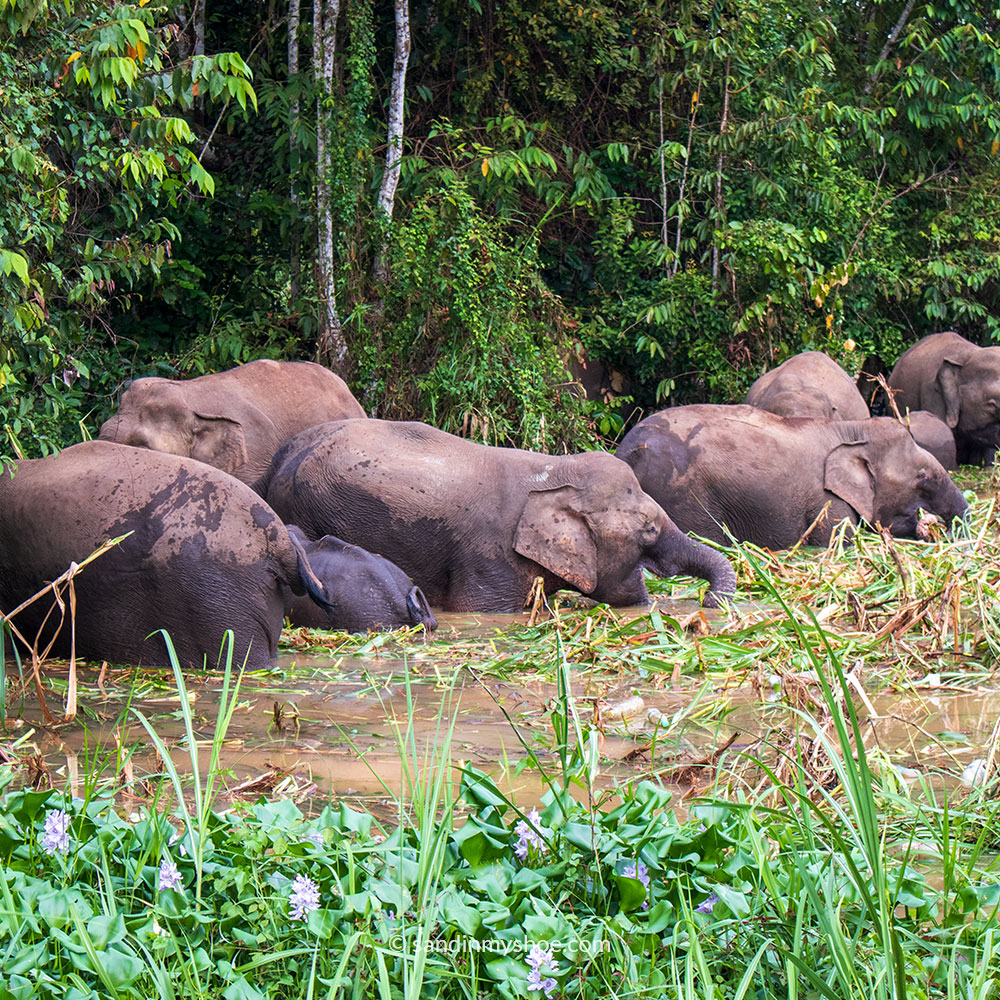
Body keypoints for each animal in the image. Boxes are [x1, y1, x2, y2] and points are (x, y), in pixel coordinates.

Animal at [616, 405, 968, 550]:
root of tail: (625, 453)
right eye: (922, 478)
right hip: (685, 497)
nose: (942, 529)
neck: (853, 431)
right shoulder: (829, 504)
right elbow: (835, 543)